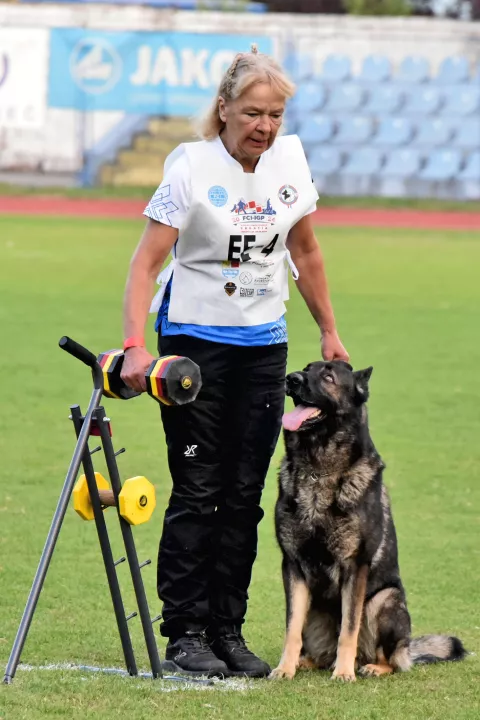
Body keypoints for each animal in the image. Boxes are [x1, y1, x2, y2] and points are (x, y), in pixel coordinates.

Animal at [270, 362, 464, 684]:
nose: (291, 378)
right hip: (315, 607)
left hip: (384, 601)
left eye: (328, 377)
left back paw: (368, 666)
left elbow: (349, 629)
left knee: (391, 659)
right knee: (319, 653)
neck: (319, 471)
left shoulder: (355, 566)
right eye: (307, 368)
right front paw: (285, 668)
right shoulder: (293, 567)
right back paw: (307, 662)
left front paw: (344, 673)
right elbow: (291, 629)